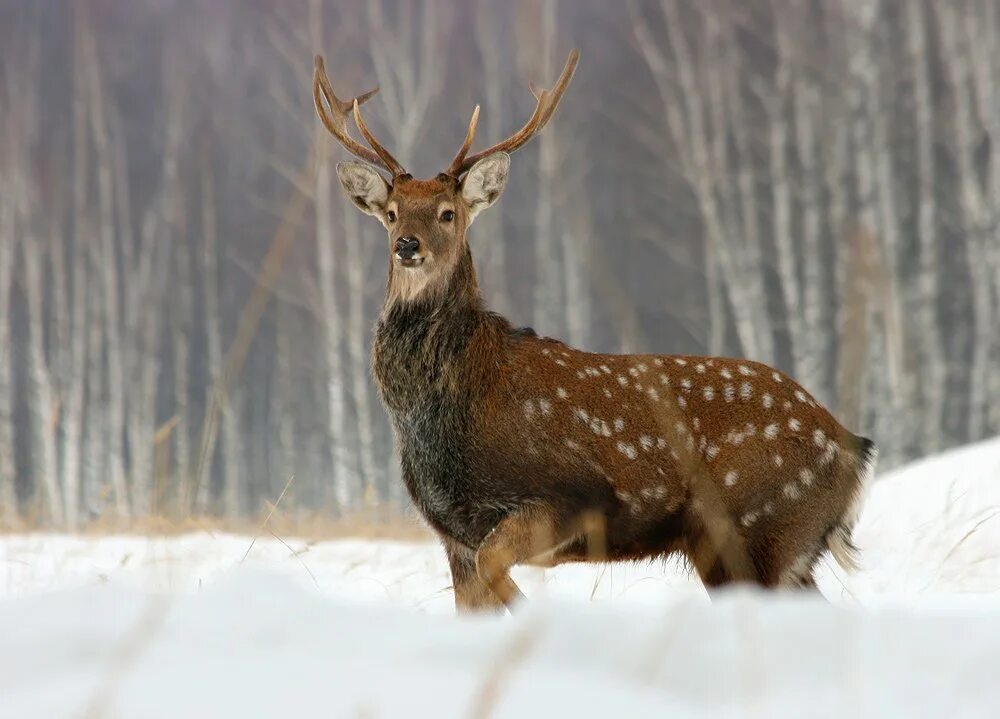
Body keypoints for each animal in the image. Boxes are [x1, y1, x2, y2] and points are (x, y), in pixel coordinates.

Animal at [310, 49, 876, 612]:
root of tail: (853, 449)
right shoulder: (453, 535)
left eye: (448, 213)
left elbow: (501, 570)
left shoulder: (565, 497)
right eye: (391, 213)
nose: (407, 245)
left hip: (756, 529)